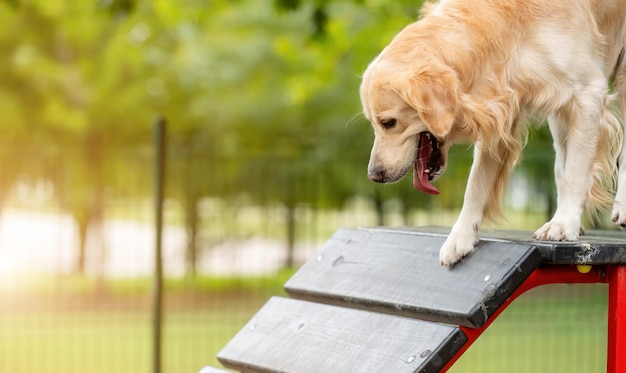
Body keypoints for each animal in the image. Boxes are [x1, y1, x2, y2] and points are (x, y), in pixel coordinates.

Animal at [358, 0, 624, 264]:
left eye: (389, 122)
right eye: (374, 123)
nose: (374, 175)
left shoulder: (587, 93)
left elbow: (575, 173)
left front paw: (563, 223)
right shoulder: (501, 109)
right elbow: (476, 184)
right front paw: (460, 237)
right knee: (561, 159)